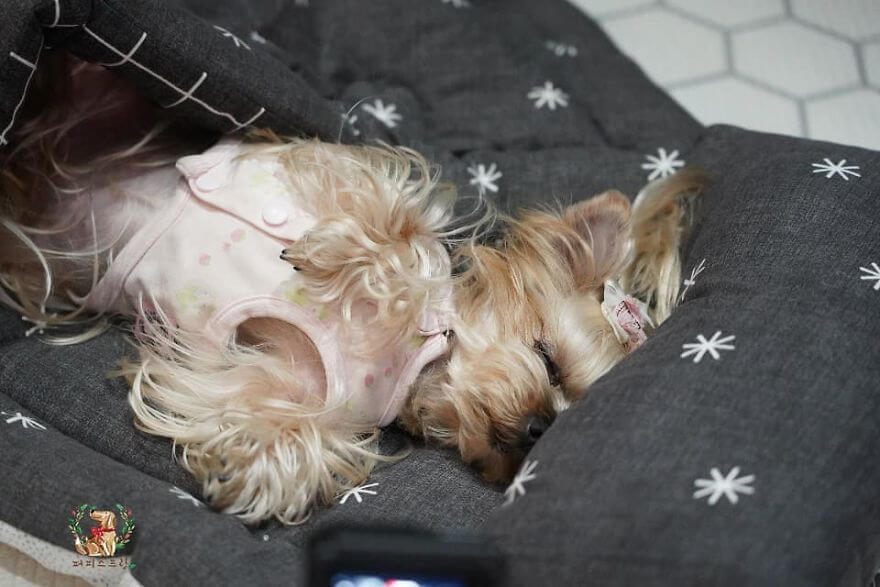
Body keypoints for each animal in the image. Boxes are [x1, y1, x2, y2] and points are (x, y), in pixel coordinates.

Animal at [0, 55, 700, 524]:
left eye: (556, 432)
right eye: (548, 362)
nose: (535, 428)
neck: (414, 368)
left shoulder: (297, 385)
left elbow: (280, 419)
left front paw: (246, 466)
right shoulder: (325, 167)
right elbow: (399, 223)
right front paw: (326, 256)